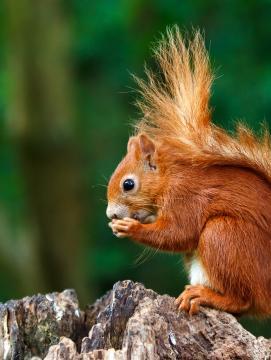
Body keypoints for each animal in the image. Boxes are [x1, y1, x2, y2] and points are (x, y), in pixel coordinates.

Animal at [107, 27, 271, 316]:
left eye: (128, 184)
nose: (110, 214)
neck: (168, 179)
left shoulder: (186, 197)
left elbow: (178, 233)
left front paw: (130, 227)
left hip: (225, 236)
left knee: (243, 299)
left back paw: (205, 296)